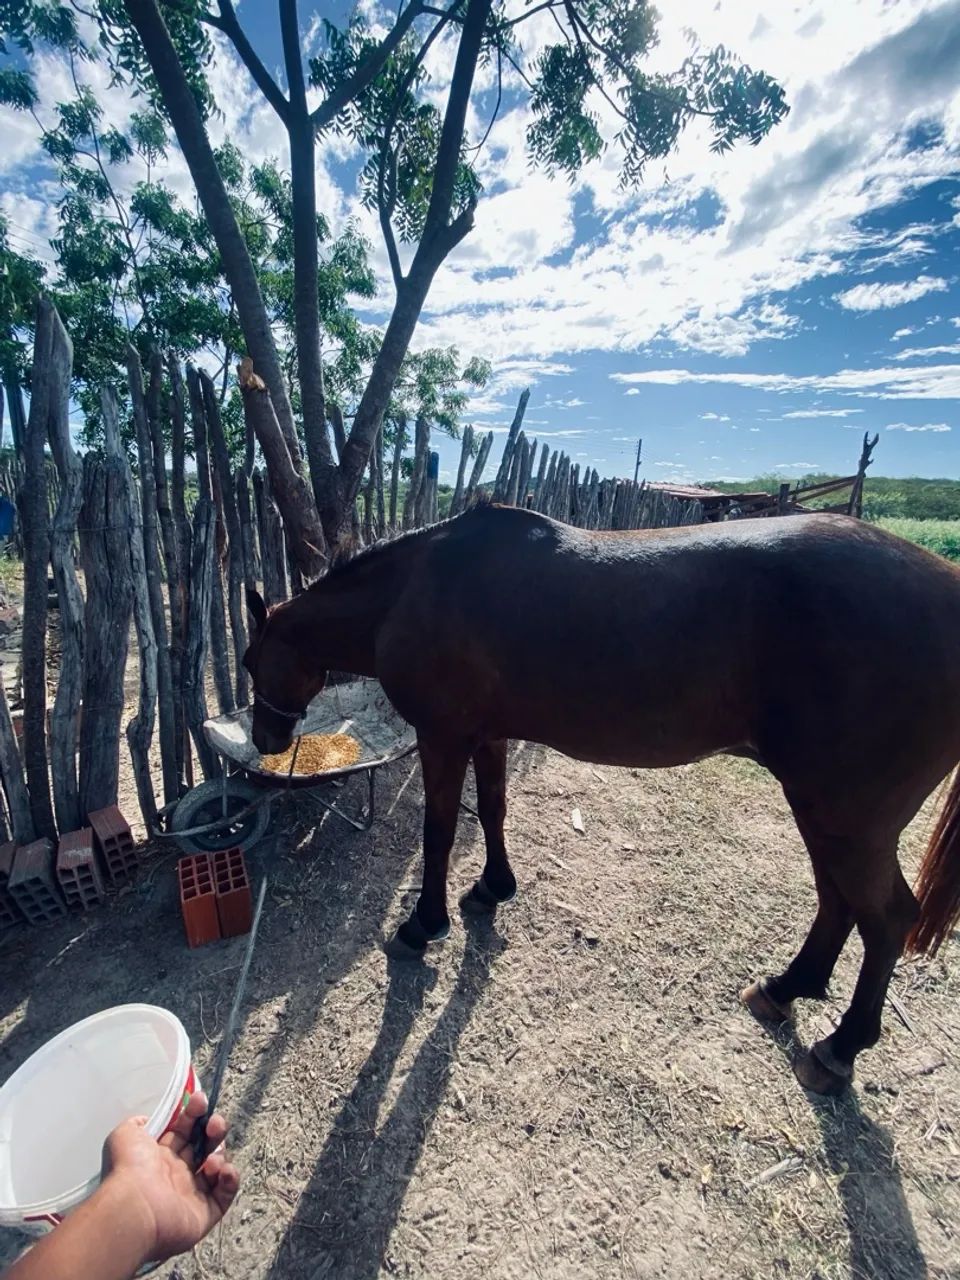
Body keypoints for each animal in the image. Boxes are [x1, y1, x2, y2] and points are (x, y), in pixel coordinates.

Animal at [242, 502, 960, 1095]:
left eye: (250, 663)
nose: (265, 738)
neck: (418, 587)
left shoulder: (442, 738)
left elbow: (439, 833)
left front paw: (423, 924)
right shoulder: (488, 735)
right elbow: (493, 811)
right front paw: (492, 888)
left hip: (848, 818)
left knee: (886, 917)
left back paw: (839, 1050)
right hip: (824, 811)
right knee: (838, 902)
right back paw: (786, 989)